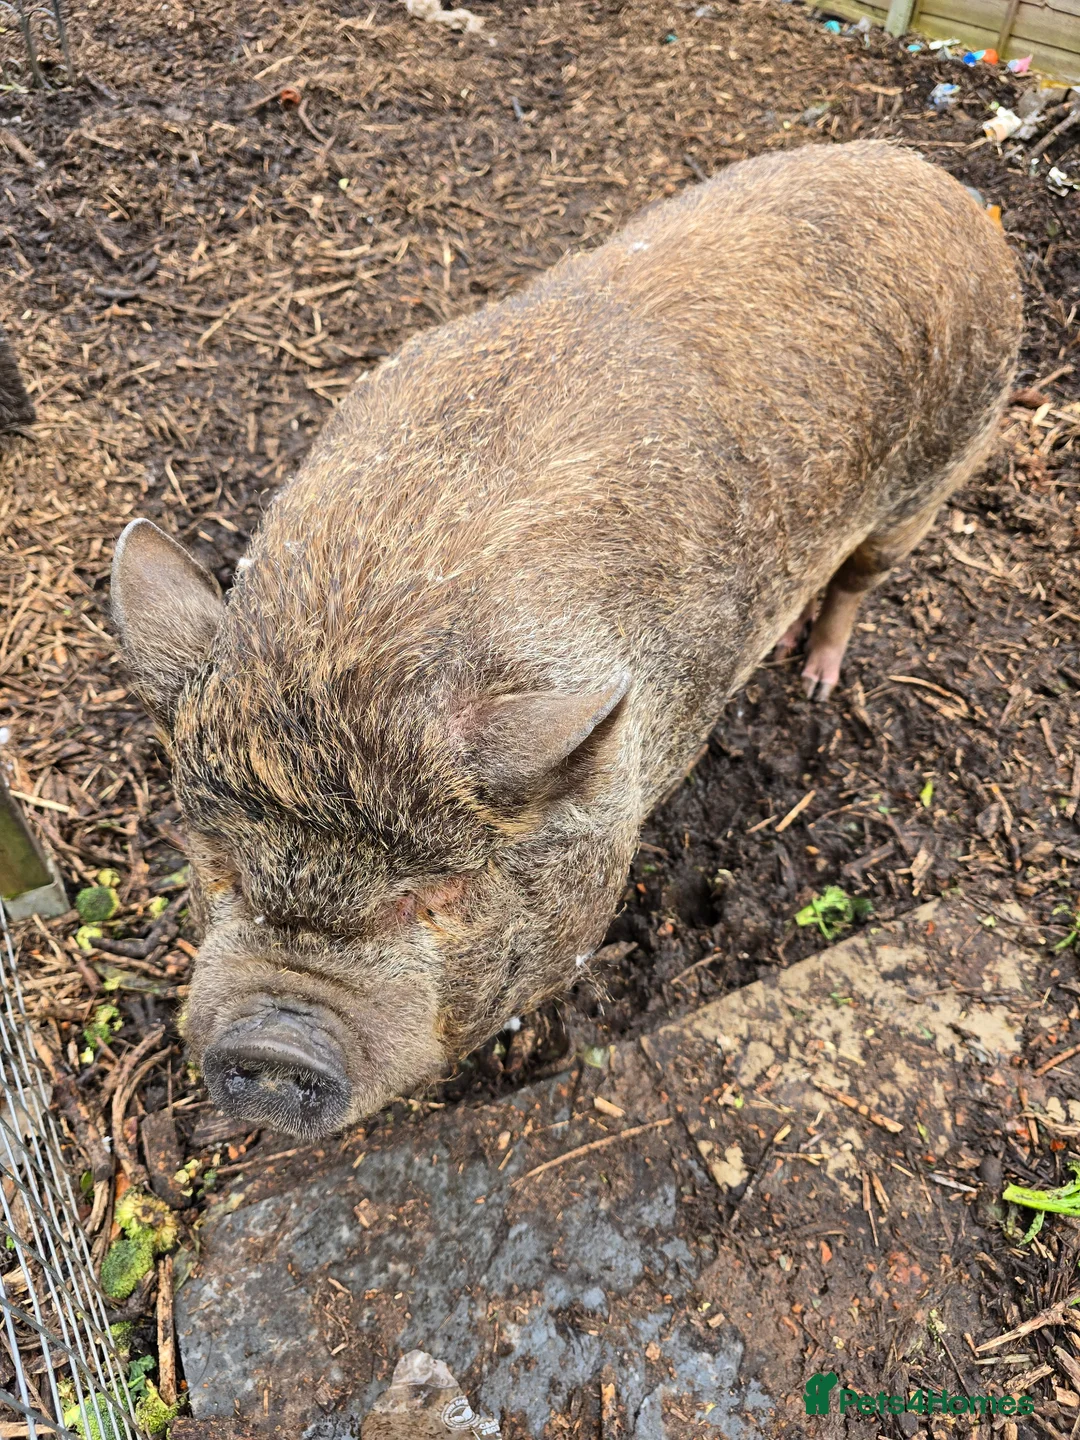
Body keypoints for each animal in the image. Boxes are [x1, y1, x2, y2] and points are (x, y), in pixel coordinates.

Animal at [112, 141, 1022, 1139]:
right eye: (221, 863)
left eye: (435, 897)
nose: (273, 1045)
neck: (366, 630)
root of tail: (942, 184)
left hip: (946, 458)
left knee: (863, 575)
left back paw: (815, 675)